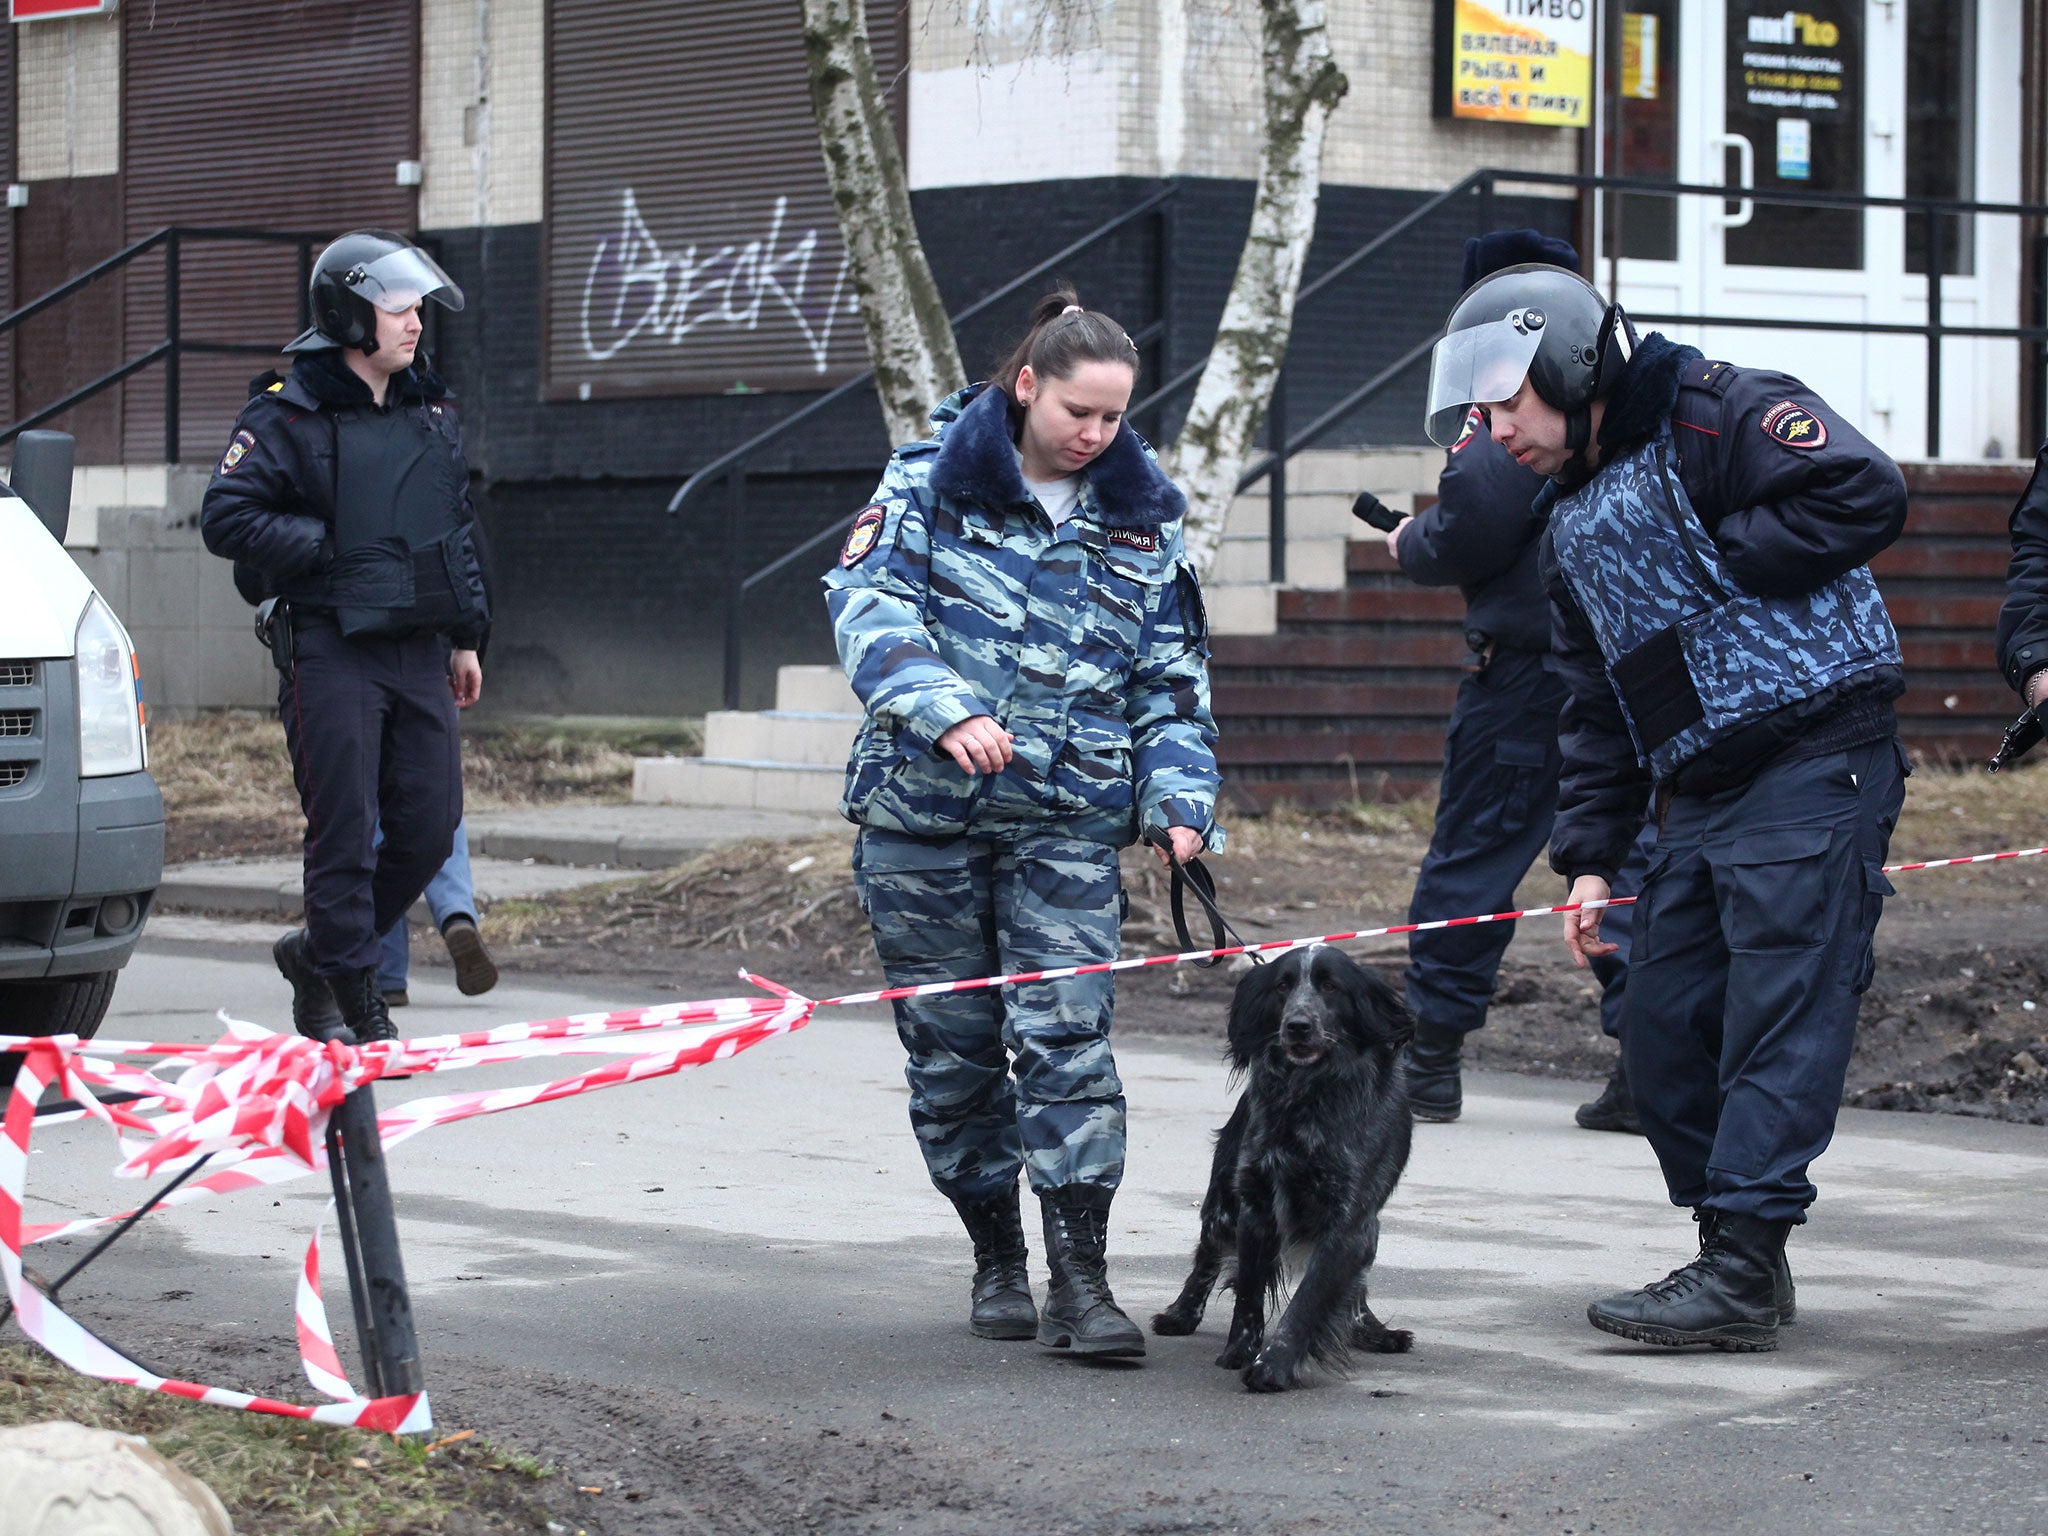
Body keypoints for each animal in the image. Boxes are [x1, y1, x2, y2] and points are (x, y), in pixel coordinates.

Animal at [1155, 946, 1425, 1400]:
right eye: (1282, 986)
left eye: (1331, 986)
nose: (1297, 1025)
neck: (1308, 1097)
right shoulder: (1256, 1206)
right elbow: (1248, 1294)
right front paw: (1239, 1353)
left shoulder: (1349, 1222)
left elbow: (1312, 1298)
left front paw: (1274, 1365)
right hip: (1223, 1204)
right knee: (1206, 1256)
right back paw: (1180, 1314)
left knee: (1354, 1286)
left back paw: (1371, 1331)